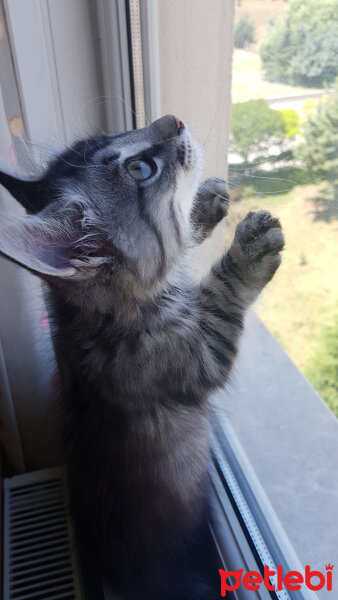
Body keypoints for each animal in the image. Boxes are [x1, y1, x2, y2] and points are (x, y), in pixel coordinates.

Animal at [0, 115, 282, 596]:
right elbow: (224, 292)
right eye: (141, 170)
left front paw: (202, 206)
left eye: (111, 134)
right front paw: (249, 251)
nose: (173, 120)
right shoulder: (198, 352)